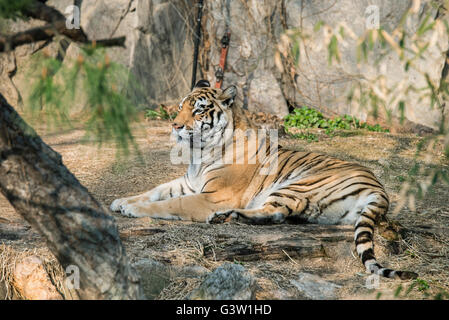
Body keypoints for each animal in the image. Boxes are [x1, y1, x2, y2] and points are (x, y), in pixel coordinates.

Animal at [111, 80, 416, 280]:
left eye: (198, 110)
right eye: (180, 107)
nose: (174, 126)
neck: (200, 152)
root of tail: (379, 188)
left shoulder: (213, 196)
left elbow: (171, 204)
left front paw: (133, 209)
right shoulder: (188, 183)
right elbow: (155, 191)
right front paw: (120, 201)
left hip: (296, 184)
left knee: (277, 212)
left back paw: (228, 217)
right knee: (284, 215)